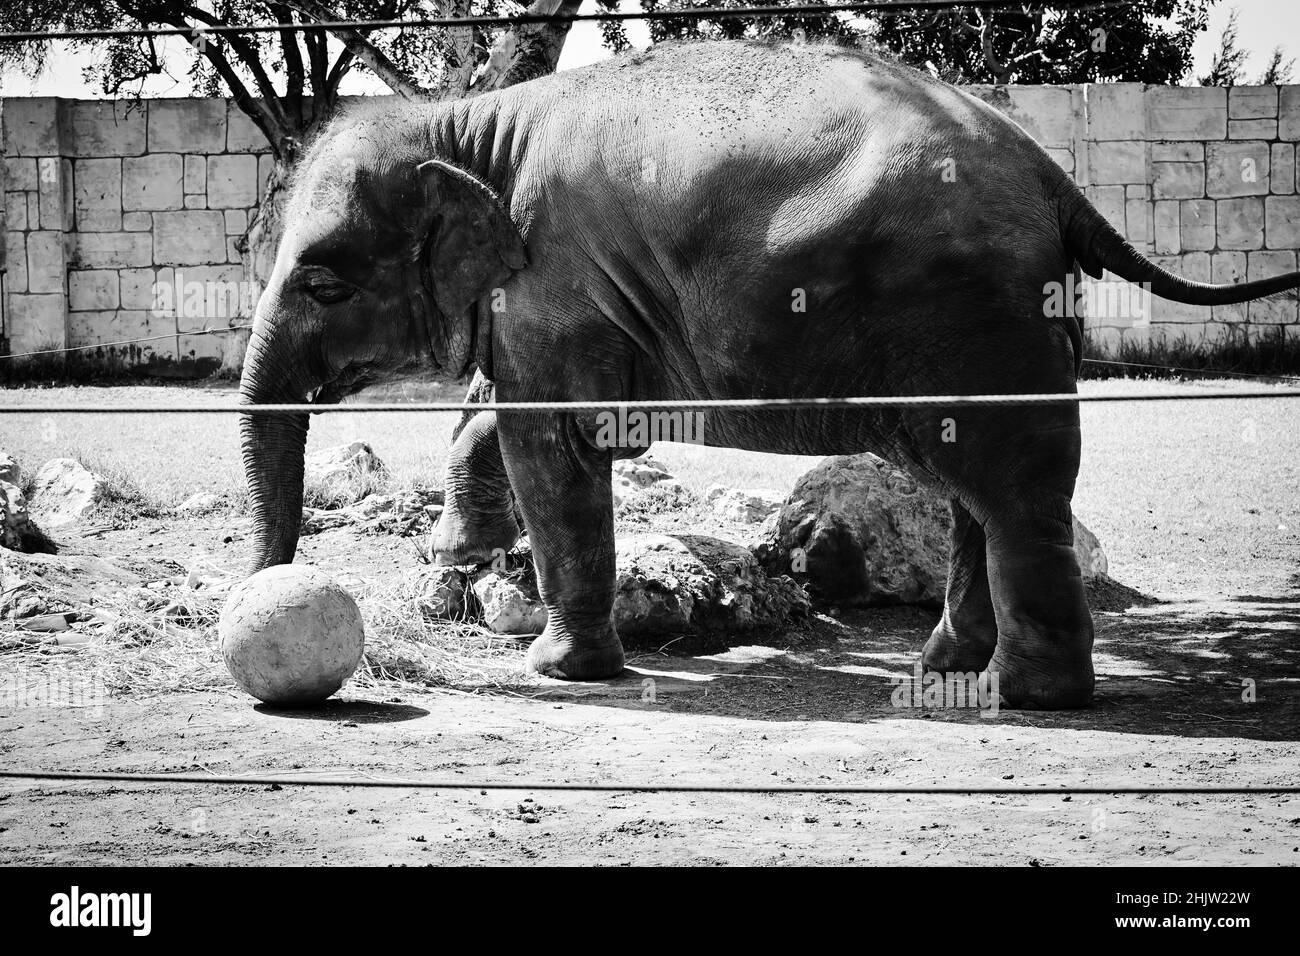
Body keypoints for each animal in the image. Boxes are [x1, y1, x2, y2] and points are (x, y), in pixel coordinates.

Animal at [241, 39, 1300, 712]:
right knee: (979, 492)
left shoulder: (557, 283)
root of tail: (1056, 176)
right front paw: (460, 559)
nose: (265, 597)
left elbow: (552, 438)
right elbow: (499, 414)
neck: (467, 123)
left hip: (975, 312)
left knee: (1013, 488)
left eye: (325, 283)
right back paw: (947, 667)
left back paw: (1024, 696)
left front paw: (555, 670)